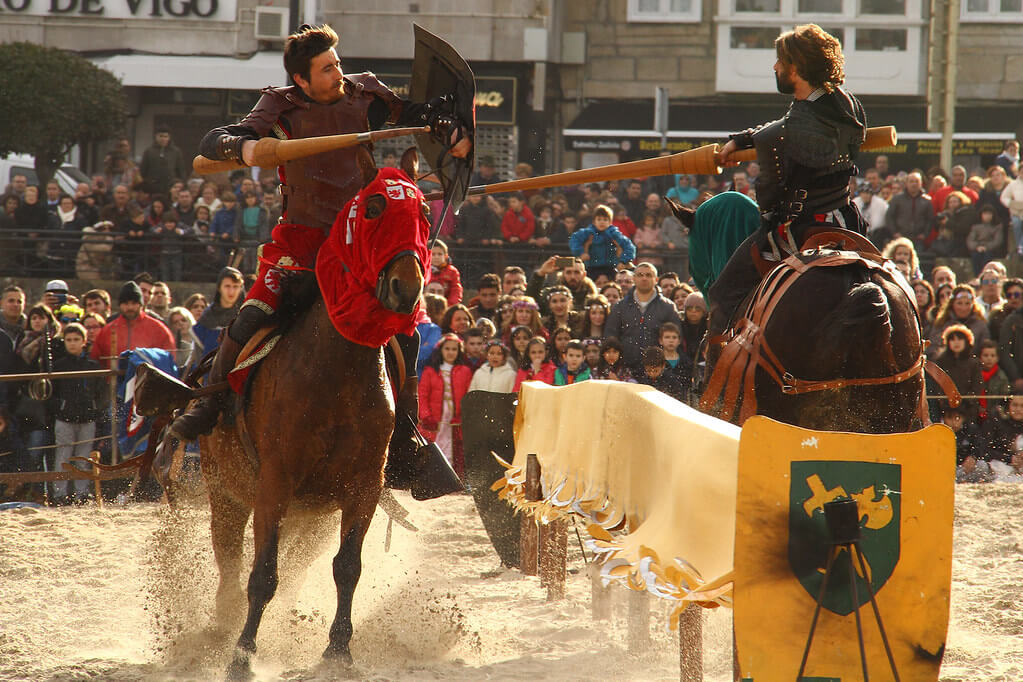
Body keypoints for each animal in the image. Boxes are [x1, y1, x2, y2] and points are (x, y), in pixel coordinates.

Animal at [199, 145, 427, 678]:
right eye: (373, 208)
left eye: (424, 213)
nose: (407, 287)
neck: (335, 370)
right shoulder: (274, 483)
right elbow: (262, 573)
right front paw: (241, 654)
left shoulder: (362, 487)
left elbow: (348, 567)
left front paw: (338, 649)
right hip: (226, 491)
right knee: (230, 562)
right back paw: (223, 626)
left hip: (312, 516)